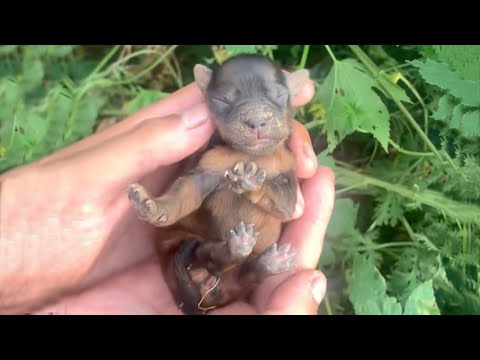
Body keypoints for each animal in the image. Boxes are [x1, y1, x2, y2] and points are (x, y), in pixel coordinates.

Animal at [127, 54, 312, 316]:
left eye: (278, 95)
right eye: (223, 99)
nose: (256, 121)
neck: (250, 156)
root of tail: (211, 294)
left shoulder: (287, 176)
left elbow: (283, 202)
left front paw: (250, 182)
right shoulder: (207, 167)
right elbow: (183, 192)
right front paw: (150, 205)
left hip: (237, 281)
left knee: (245, 276)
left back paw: (268, 262)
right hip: (182, 246)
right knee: (206, 256)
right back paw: (237, 248)